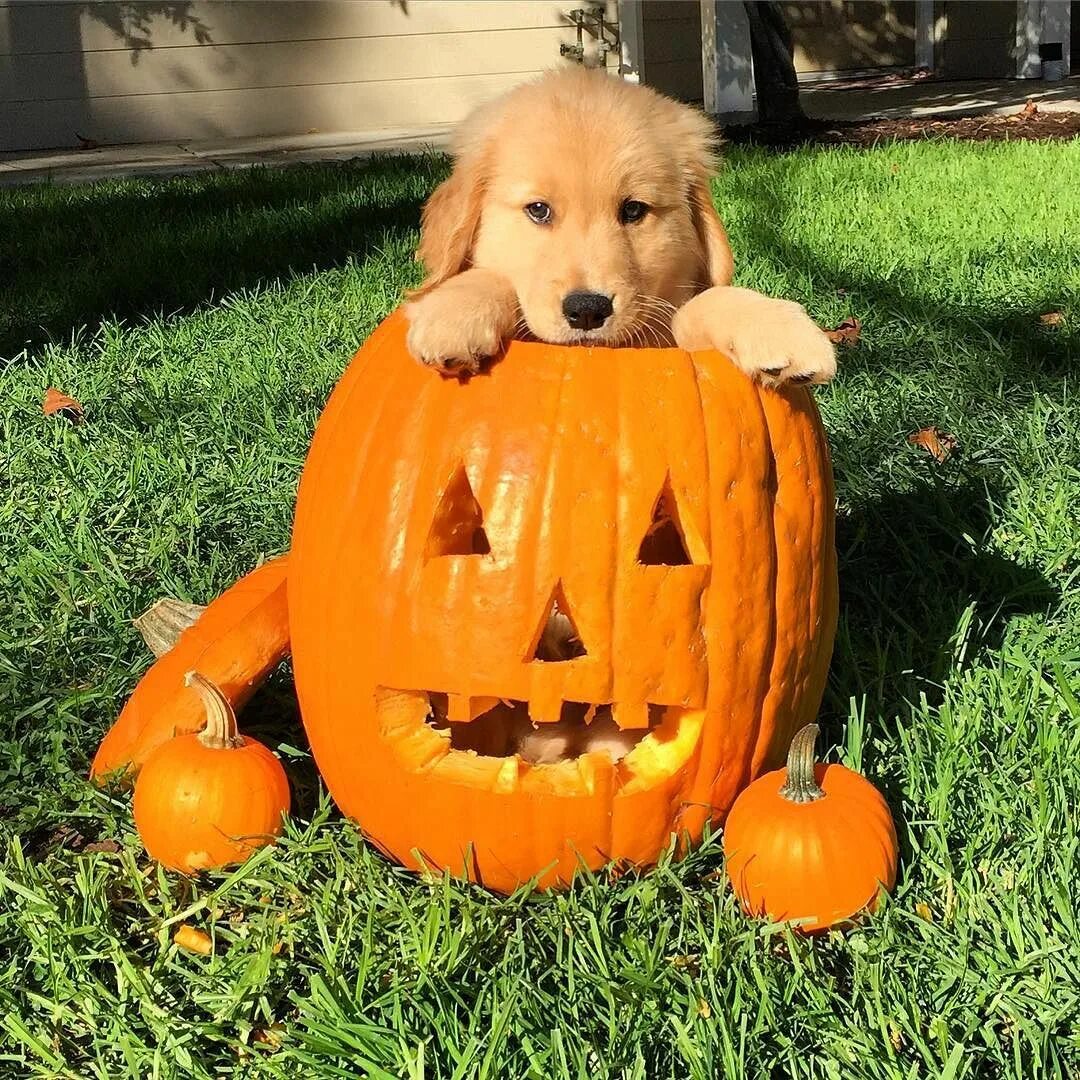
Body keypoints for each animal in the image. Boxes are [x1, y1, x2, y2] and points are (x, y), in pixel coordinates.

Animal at [406, 65, 833, 386]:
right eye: (539, 210)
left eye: (633, 210)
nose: (587, 311)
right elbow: (488, 277)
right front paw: (453, 315)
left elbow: (706, 302)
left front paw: (775, 327)